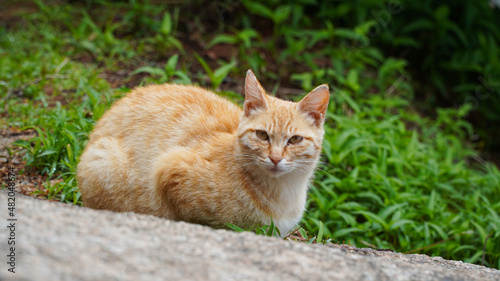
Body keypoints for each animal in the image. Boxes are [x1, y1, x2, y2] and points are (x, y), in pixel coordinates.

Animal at [77, 70, 328, 236]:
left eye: (295, 139)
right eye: (262, 135)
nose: (275, 158)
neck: (283, 193)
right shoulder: (171, 170)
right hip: (103, 161)